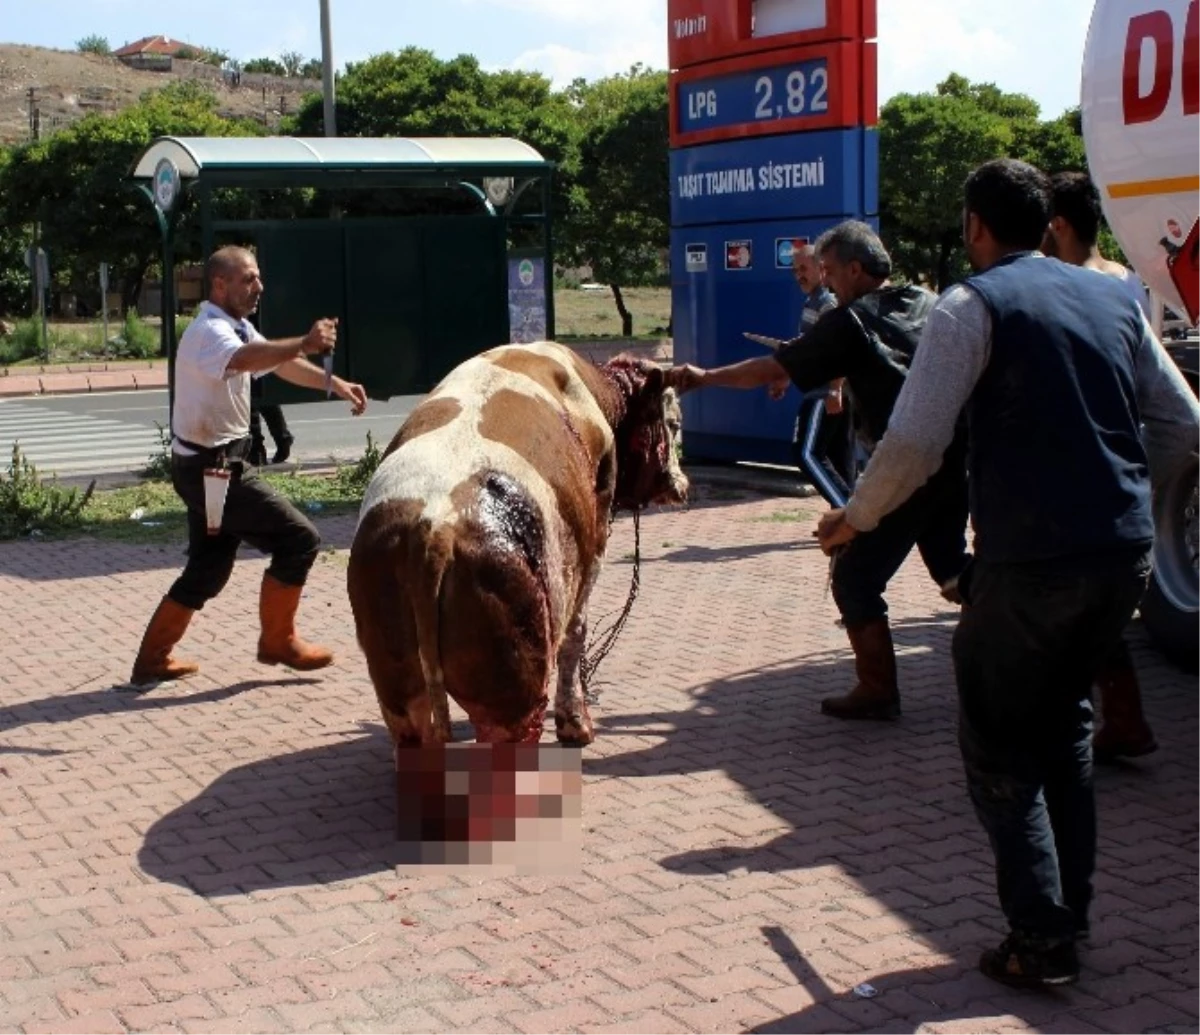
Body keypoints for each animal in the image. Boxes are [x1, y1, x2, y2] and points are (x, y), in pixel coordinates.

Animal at [345, 340, 686, 754]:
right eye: (674, 423)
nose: (681, 485)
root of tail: (434, 528)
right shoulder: (594, 540)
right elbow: (576, 635)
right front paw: (576, 726)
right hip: (512, 685)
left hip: (396, 683)